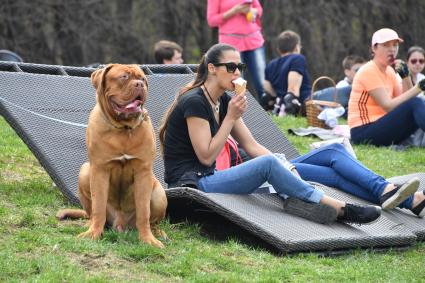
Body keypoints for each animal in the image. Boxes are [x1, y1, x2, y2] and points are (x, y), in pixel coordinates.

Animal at [57, 63, 166, 248]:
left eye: (142, 78)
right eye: (123, 77)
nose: (140, 85)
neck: (123, 129)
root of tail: (120, 224)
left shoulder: (143, 172)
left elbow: (144, 212)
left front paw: (148, 239)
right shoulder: (100, 170)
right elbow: (98, 207)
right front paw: (93, 234)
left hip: (159, 194)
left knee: (153, 220)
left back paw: (158, 232)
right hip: (85, 172)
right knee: (92, 213)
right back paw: (90, 225)